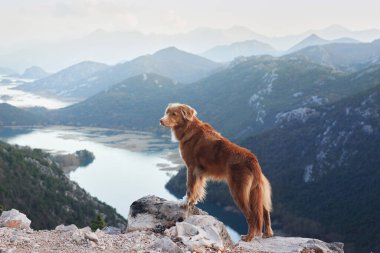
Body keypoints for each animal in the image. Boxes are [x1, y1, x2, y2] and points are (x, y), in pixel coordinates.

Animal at [160, 102, 274, 240]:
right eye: (166, 112)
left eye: (174, 114)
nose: (161, 120)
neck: (189, 128)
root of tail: (252, 159)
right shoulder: (199, 172)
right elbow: (197, 189)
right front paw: (193, 202)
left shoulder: (191, 168)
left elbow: (190, 188)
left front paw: (185, 203)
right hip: (256, 191)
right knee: (265, 211)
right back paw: (268, 233)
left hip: (239, 191)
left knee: (251, 215)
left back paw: (248, 238)